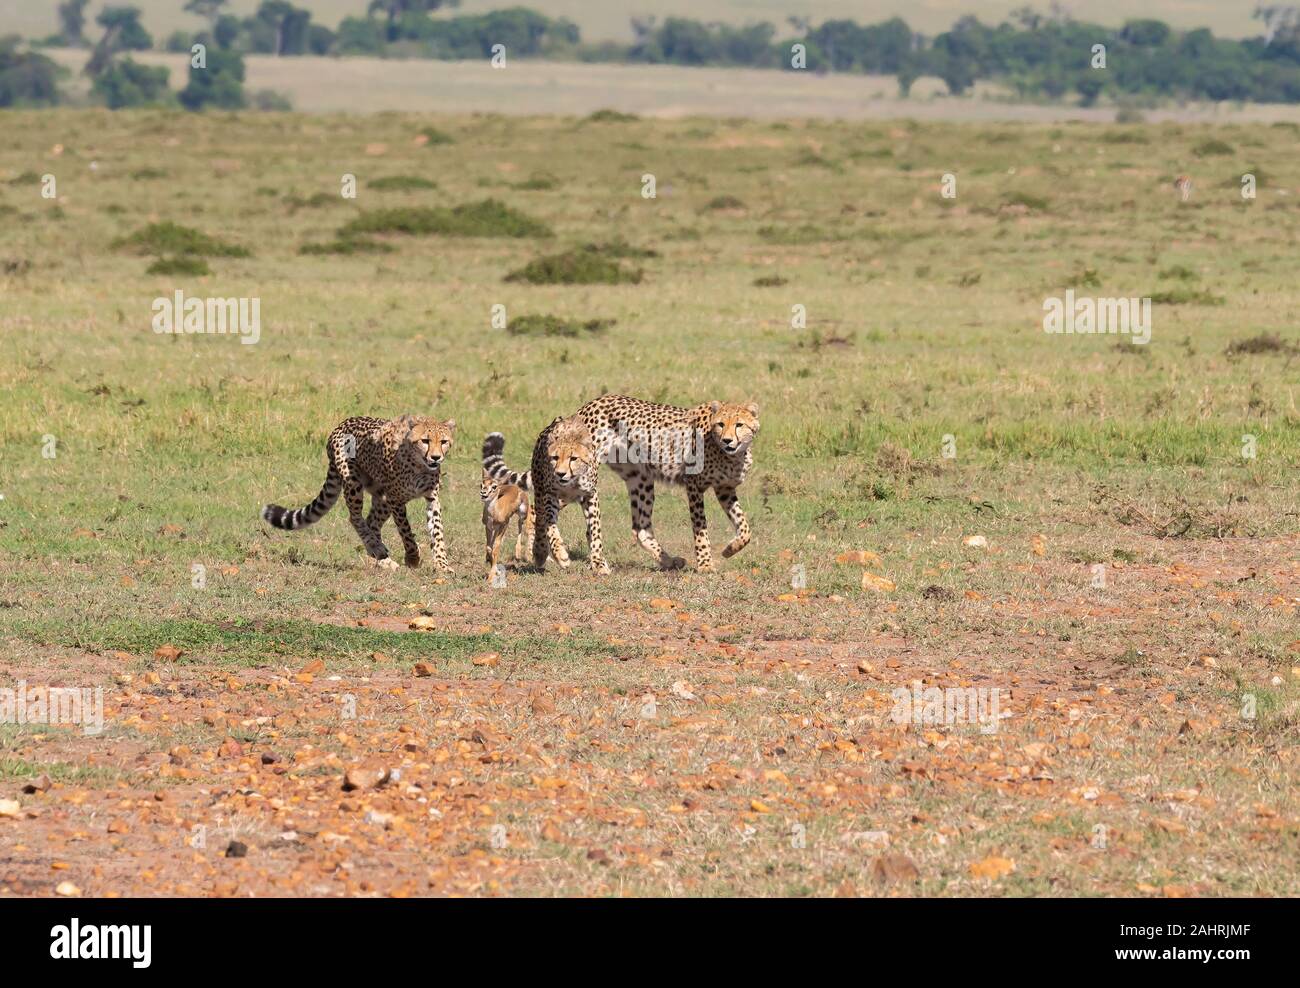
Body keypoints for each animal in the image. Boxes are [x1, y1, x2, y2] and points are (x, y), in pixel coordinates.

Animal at [260, 416, 457, 572]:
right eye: (425, 441)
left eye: (444, 442)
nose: (436, 457)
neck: (419, 465)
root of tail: (341, 425)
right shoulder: (396, 500)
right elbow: (406, 531)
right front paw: (413, 557)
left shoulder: (431, 498)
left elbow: (437, 532)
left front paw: (442, 564)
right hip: (353, 483)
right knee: (355, 518)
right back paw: (378, 551)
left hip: (381, 497)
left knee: (371, 523)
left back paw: (381, 558)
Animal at [480, 434, 530, 579]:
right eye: (482, 484)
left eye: (494, 486)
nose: (483, 493)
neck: (494, 513)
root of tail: (515, 487)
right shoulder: (488, 526)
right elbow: (489, 547)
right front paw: (490, 561)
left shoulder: (504, 524)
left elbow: (496, 547)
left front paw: (492, 575)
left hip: (522, 513)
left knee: (520, 526)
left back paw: (518, 554)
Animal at [486, 416, 611, 572]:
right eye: (555, 457)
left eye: (573, 458)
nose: (560, 473)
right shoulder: (550, 495)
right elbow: (550, 527)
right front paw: (561, 555)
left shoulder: (590, 495)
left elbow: (595, 530)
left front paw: (598, 562)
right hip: (540, 493)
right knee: (538, 520)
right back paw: (540, 552)